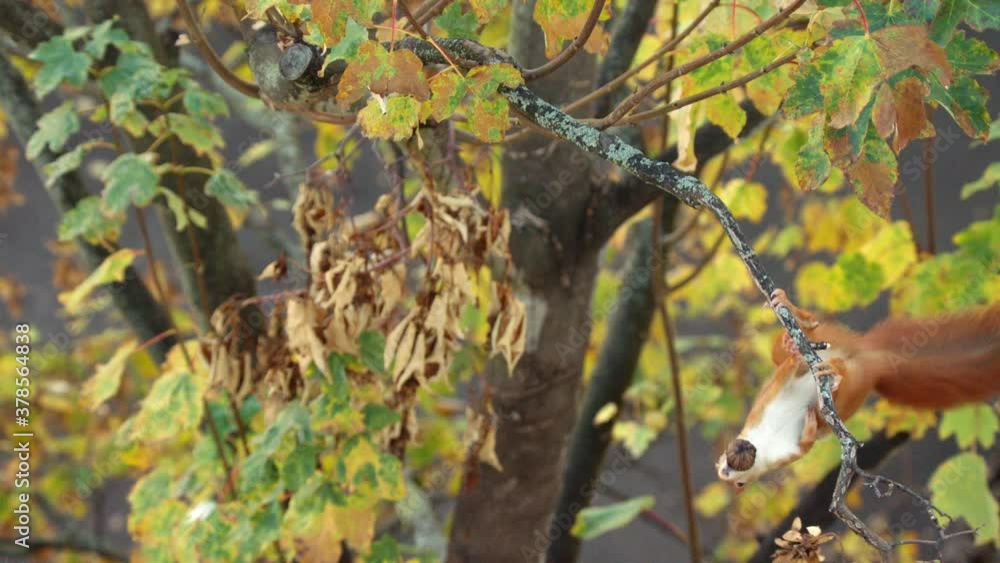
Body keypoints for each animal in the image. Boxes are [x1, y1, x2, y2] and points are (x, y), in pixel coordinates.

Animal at [716, 289, 1000, 489]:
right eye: (727, 473)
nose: (738, 450)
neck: (764, 441)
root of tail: (869, 359)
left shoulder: (763, 407)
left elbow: (784, 371)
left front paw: (794, 355)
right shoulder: (786, 453)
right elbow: (806, 443)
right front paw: (809, 427)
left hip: (830, 343)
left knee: (805, 333)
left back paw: (794, 325)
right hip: (856, 387)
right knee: (832, 397)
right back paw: (833, 375)